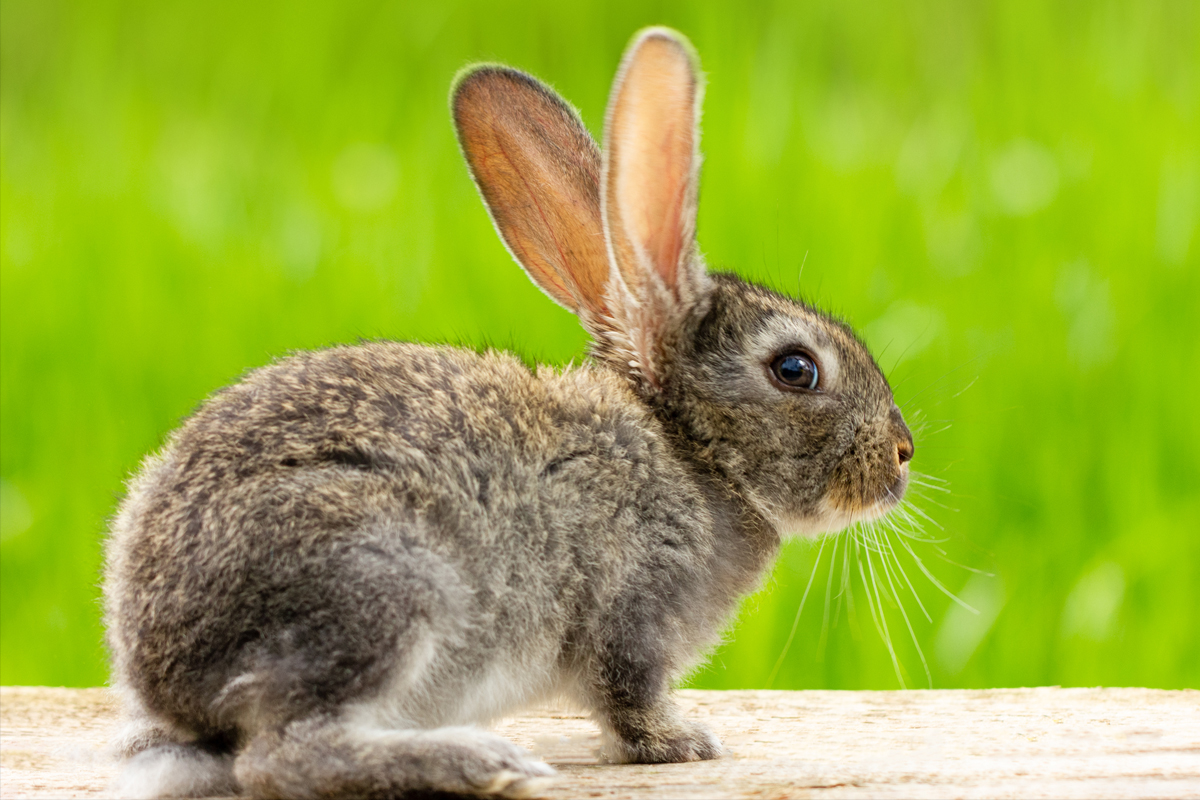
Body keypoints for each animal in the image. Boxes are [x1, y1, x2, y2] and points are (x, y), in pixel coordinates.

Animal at [103, 25, 912, 800]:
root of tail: (164, 669)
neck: (689, 450)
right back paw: (478, 762)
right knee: (284, 757)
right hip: (384, 585)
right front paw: (681, 743)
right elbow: (628, 696)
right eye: (796, 369)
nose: (902, 456)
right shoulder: (631, 611)